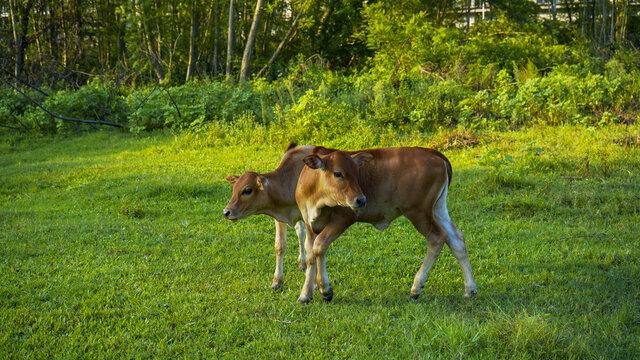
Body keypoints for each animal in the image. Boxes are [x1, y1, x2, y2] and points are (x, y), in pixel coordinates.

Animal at [225, 143, 316, 290]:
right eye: (234, 190)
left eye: (247, 190)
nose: (226, 212)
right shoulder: (279, 218)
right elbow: (280, 246)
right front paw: (277, 281)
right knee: (300, 233)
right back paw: (301, 263)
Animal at [296, 147, 476, 304]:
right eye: (338, 173)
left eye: (357, 173)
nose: (361, 200)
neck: (316, 196)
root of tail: (434, 154)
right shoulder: (308, 222)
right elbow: (310, 254)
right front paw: (305, 294)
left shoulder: (344, 217)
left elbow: (319, 246)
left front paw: (325, 290)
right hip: (437, 208)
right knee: (456, 239)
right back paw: (469, 289)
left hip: (418, 212)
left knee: (437, 238)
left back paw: (416, 287)